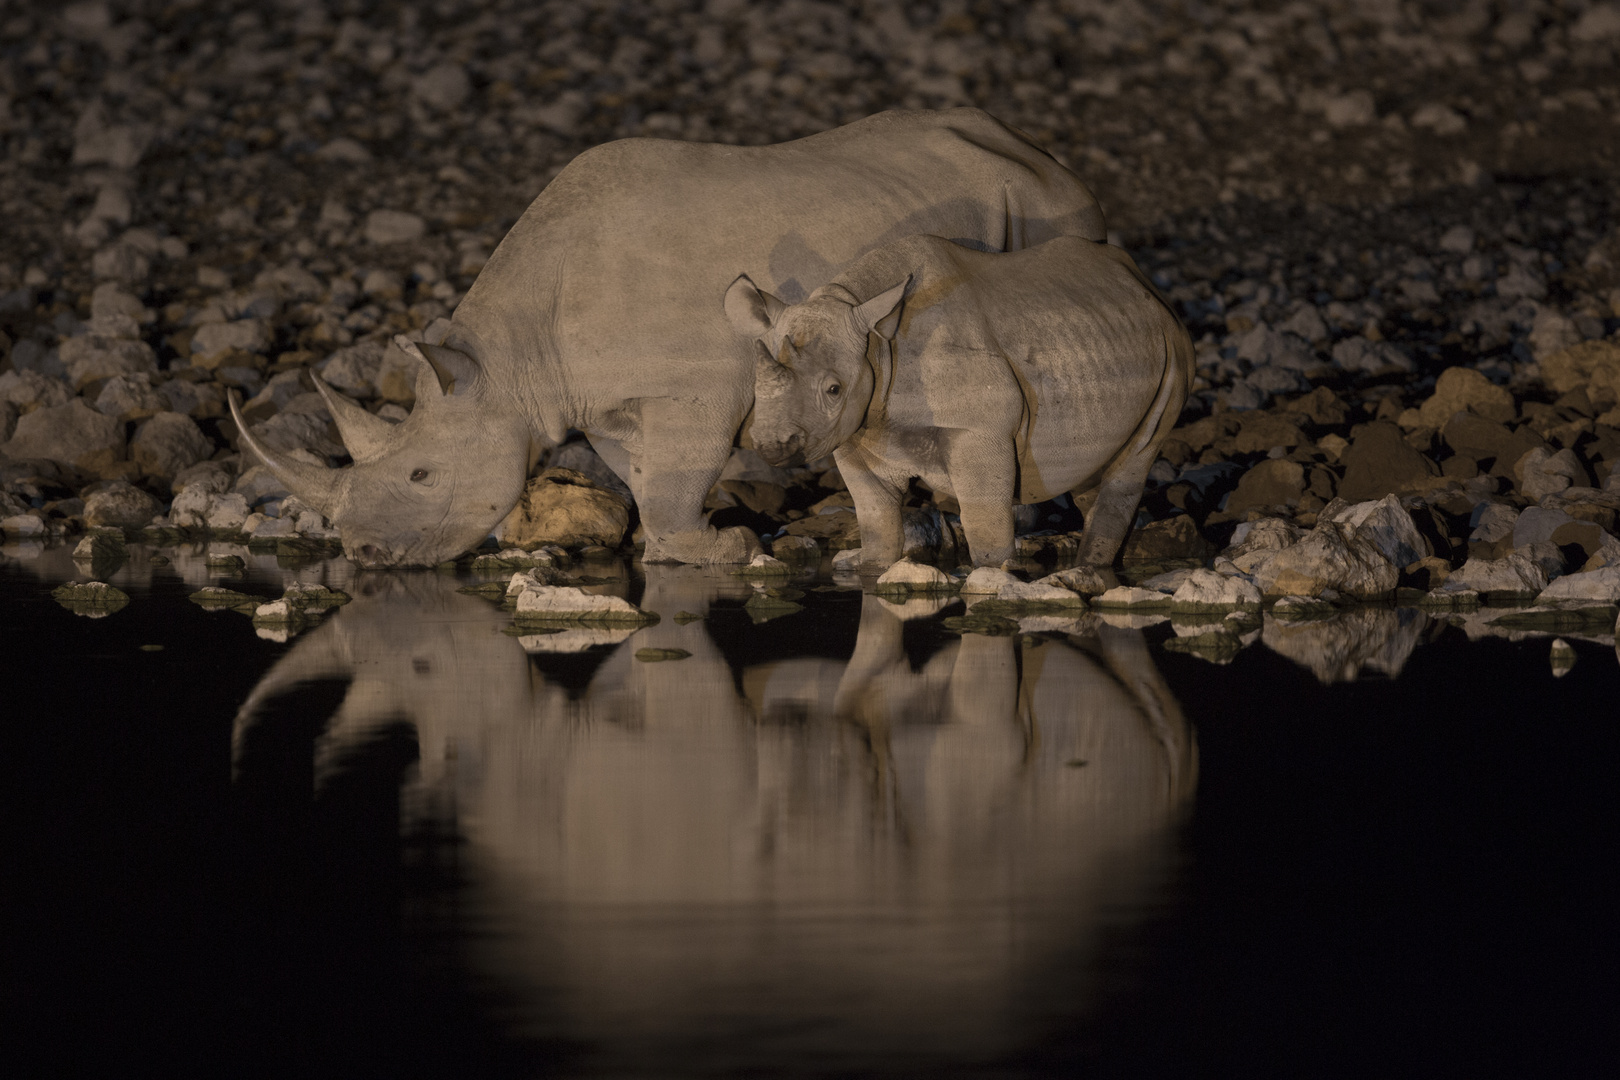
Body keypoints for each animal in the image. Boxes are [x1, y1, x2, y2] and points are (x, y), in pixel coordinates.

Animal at [231, 106, 1101, 569]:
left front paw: (722, 550)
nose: (363, 557)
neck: (510, 361)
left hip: (1042, 200)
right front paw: (677, 552)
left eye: (420, 475)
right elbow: (648, 478)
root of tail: (1033, 147)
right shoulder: (606, 404)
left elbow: (681, 472)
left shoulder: (695, 390)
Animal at [729, 233, 1198, 569]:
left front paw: (993, 574)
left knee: (1135, 458)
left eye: (833, 390)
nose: (772, 446)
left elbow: (985, 527)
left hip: (1175, 345)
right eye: (755, 386)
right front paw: (873, 567)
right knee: (1093, 472)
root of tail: (1143, 282)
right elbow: (876, 521)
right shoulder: (854, 433)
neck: (876, 343)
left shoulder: (979, 429)